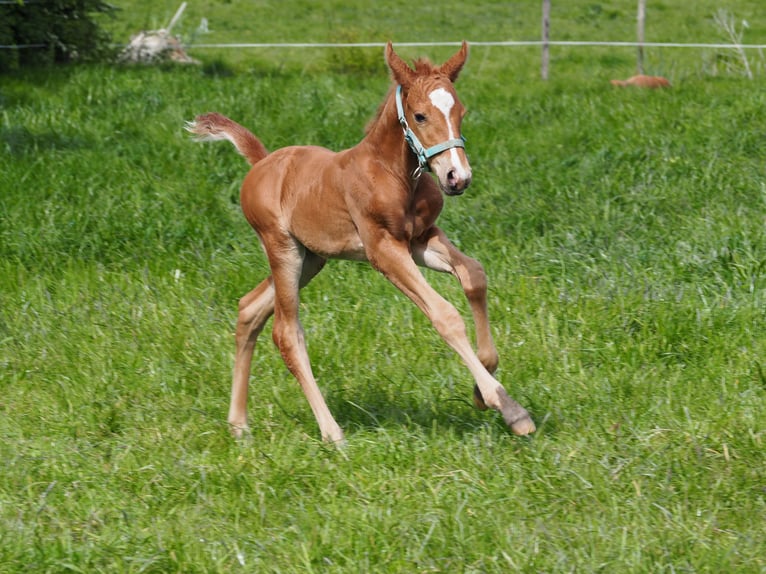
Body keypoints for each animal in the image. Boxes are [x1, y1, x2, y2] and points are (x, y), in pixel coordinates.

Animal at [188, 42, 536, 444]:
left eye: (460, 112)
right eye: (419, 116)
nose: (457, 177)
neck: (392, 173)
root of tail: (262, 163)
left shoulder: (420, 239)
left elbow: (474, 275)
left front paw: (484, 387)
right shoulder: (382, 249)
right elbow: (445, 314)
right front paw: (509, 408)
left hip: (311, 259)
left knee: (249, 309)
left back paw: (239, 424)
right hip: (282, 249)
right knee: (287, 333)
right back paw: (332, 433)